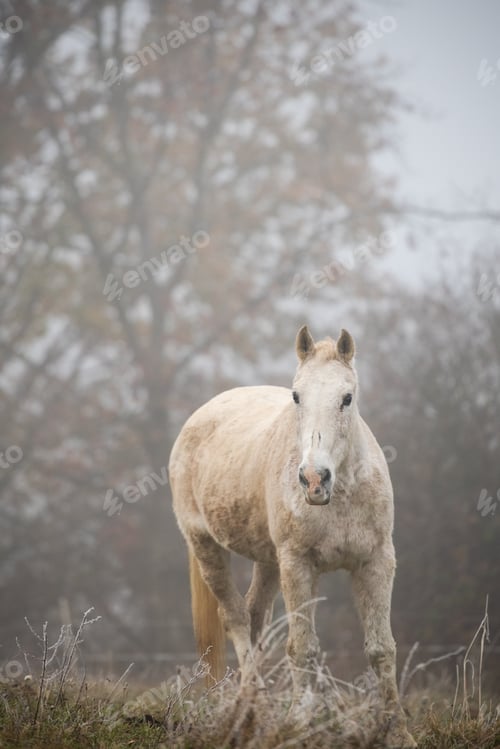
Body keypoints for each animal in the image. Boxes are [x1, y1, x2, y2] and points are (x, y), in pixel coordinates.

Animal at [169, 325, 416, 748]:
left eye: (347, 398)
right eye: (297, 396)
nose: (314, 480)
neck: (342, 494)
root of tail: (200, 416)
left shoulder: (376, 562)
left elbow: (381, 649)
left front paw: (398, 732)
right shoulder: (298, 565)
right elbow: (303, 648)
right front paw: (301, 726)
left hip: (268, 561)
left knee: (254, 618)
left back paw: (251, 715)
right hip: (207, 547)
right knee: (235, 618)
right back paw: (255, 713)